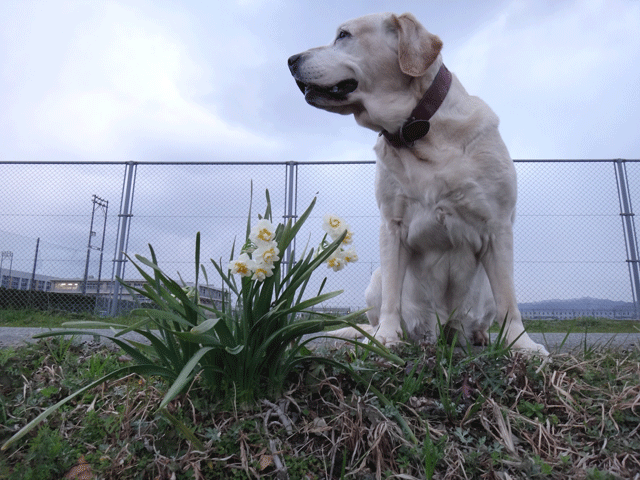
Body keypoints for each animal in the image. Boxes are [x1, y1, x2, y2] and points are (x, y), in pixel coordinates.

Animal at [290, 13, 552, 354]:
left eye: (343, 35)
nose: (291, 60)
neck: (418, 130)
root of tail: (445, 330)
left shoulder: (498, 225)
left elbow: (508, 299)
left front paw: (522, 345)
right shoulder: (392, 226)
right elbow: (392, 295)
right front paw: (387, 337)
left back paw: (480, 336)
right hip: (375, 282)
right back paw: (381, 334)